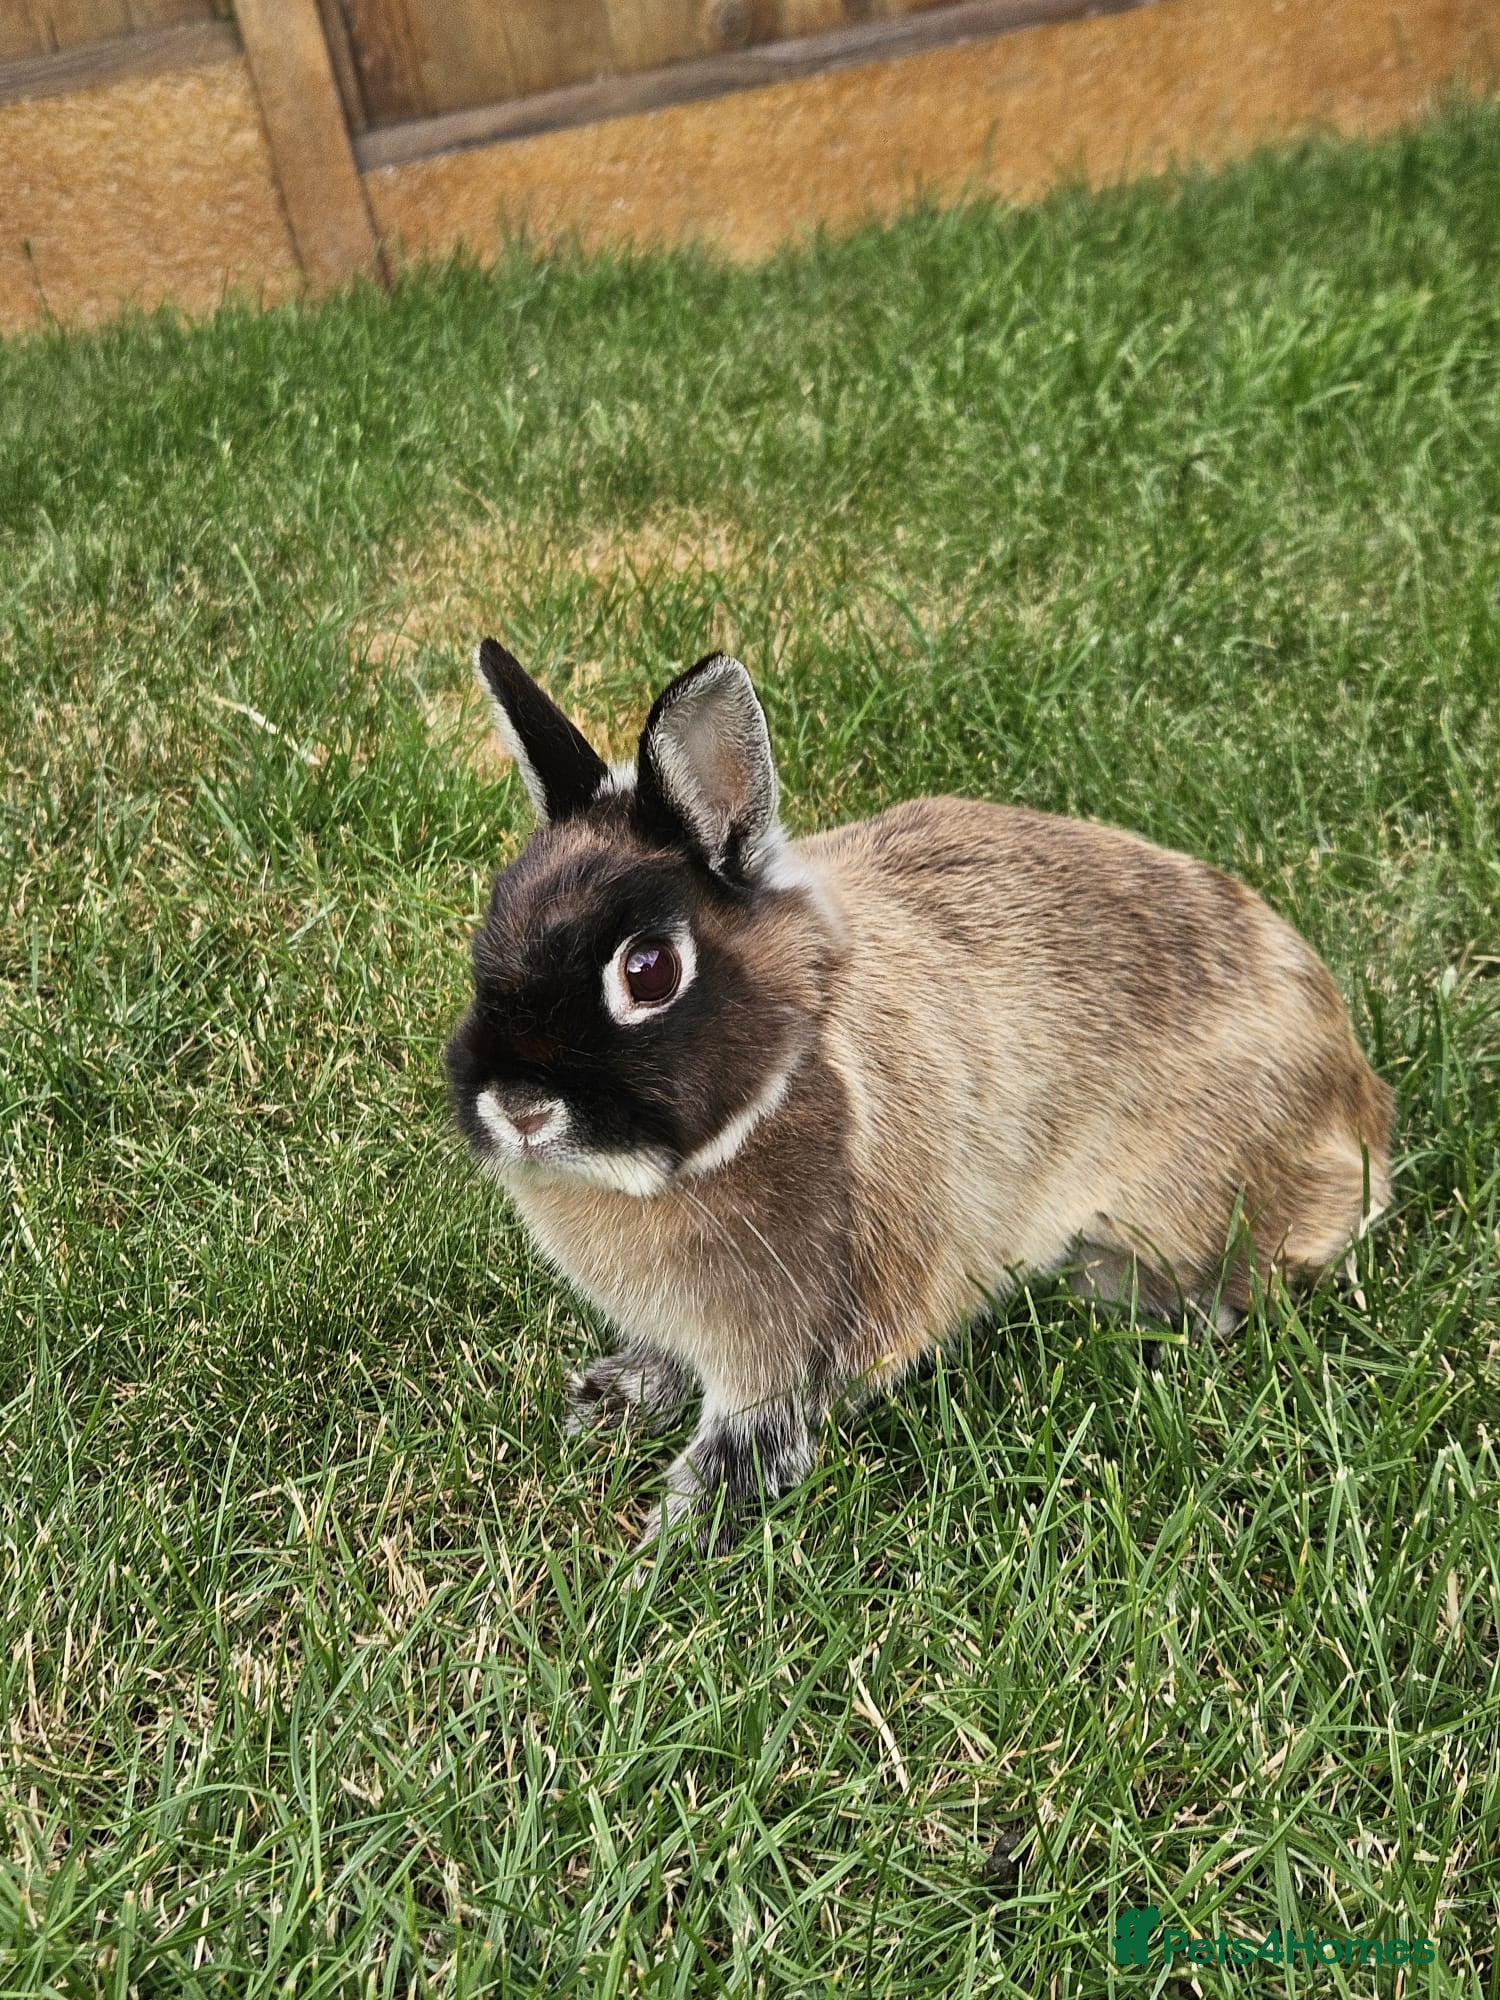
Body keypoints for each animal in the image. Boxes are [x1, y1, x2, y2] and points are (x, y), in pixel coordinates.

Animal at [445, 639, 1393, 1559]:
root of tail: (1358, 1099)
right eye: (490, 929)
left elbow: (755, 1436)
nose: (519, 1109)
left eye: (649, 972)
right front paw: (609, 1402)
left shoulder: (789, 1348)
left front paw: (677, 1537)